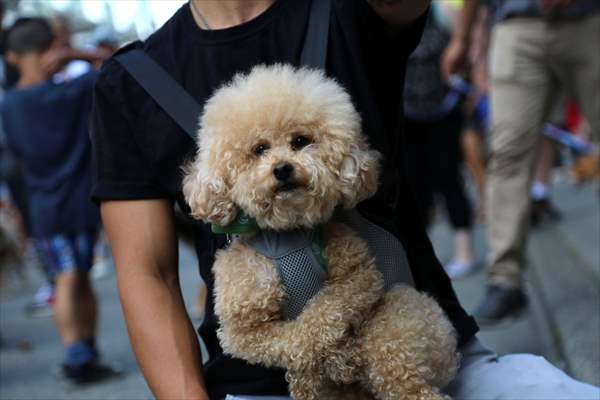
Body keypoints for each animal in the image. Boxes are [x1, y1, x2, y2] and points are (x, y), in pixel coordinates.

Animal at [183, 65, 460, 400]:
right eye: (259, 149)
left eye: (300, 140)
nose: (282, 169)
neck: (285, 234)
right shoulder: (241, 328)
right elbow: (289, 341)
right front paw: (324, 364)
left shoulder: (358, 273)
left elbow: (321, 315)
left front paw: (336, 356)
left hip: (398, 323)